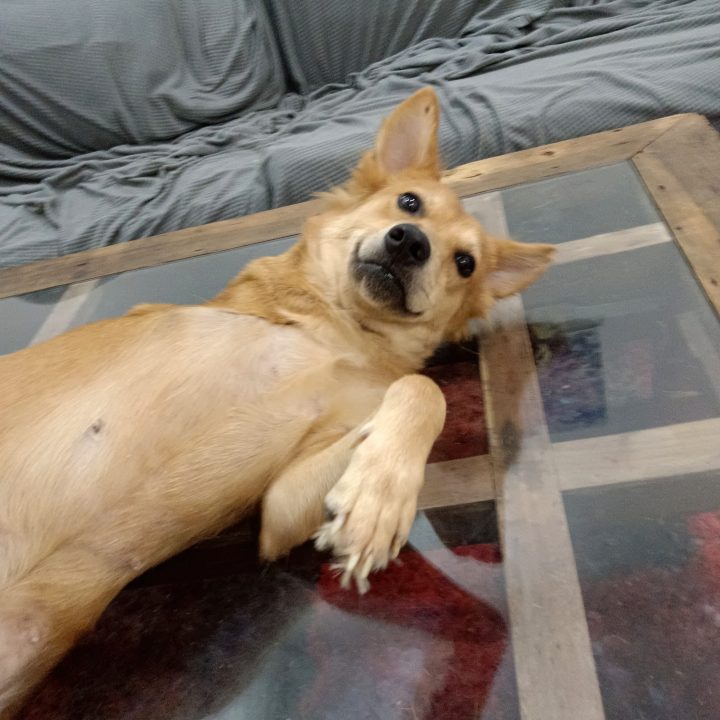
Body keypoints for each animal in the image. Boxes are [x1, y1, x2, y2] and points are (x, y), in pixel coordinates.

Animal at [0, 87, 556, 716]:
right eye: (409, 203)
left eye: (465, 264)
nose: (411, 242)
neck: (338, 333)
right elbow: (425, 386)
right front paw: (379, 503)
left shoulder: (282, 506)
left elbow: (421, 389)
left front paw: (374, 500)